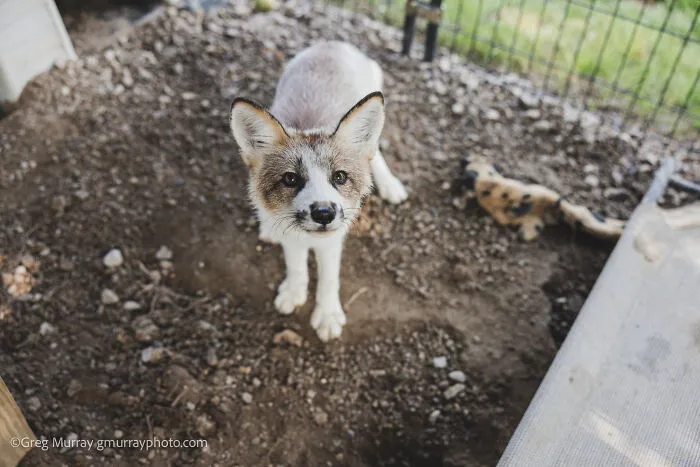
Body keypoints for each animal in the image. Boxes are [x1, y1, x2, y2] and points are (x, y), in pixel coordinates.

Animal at [229, 41, 407, 341]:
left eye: (340, 177)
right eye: (290, 179)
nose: (324, 213)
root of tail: (331, 43)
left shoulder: (333, 241)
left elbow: (328, 279)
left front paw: (327, 315)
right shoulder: (291, 236)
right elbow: (296, 266)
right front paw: (294, 292)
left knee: (376, 153)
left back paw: (390, 184)